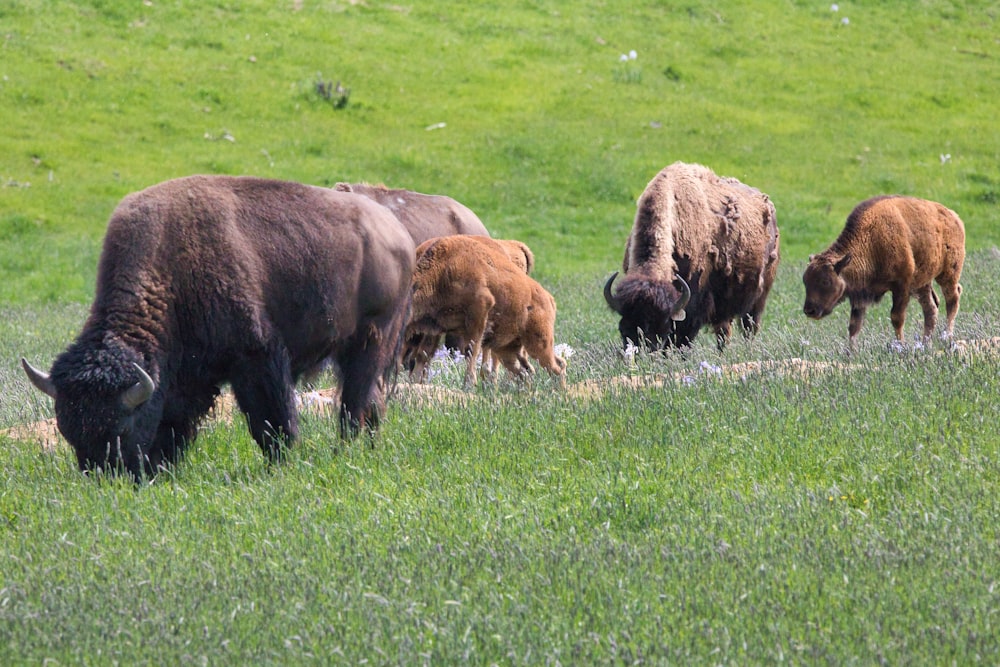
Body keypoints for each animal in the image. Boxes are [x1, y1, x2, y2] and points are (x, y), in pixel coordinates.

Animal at [22, 176, 414, 480]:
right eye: (68, 431)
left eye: (121, 428)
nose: (106, 480)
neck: (169, 265)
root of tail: (397, 233)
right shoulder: (185, 375)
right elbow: (176, 421)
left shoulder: (257, 357)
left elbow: (271, 421)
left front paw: (280, 465)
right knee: (372, 401)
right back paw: (368, 449)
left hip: (372, 339)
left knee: (353, 404)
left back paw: (343, 452)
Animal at [402, 236, 568, 388]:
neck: (442, 270)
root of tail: (550, 298)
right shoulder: (436, 327)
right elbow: (424, 354)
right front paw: (414, 382)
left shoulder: (479, 310)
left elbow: (471, 350)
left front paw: (469, 384)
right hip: (507, 349)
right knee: (528, 370)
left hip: (538, 343)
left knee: (555, 367)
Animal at [600, 162, 780, 352]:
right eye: (623, 328)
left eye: (661, 326)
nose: (642, 351)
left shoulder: (691, 310)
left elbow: (682, 340)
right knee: (724, 332)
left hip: (759, 298)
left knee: (749, 328)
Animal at [800, 194, 964, 348]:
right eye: (805, 281)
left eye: (825, 281)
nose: (809, 311)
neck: (871, 240)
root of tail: (954, 217)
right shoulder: (860, 294)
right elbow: (854, 325)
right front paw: (851, 353)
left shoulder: (901, 286)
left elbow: (896, 318)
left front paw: (900, 346)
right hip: (922, 283)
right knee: (931, 309)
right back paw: (925, 344)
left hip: (948, 274)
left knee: (952, 299)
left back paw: (946, 337)